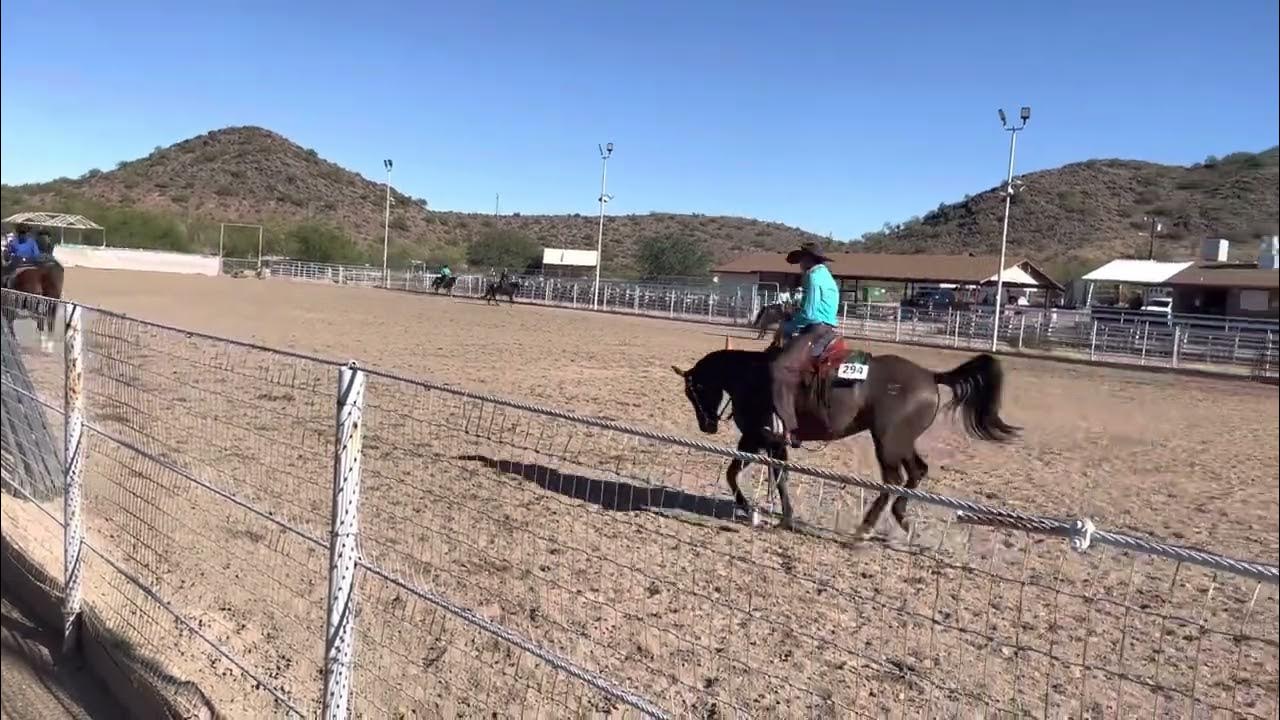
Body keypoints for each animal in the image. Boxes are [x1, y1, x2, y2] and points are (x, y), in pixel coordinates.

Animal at [671, 343, 1017, 537]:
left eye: (695, 390)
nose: (707, 426)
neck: (751, 377)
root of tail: (931, 376)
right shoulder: (758, 440)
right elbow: (742, 473)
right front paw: (759, 511)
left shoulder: (763, 438)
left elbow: (771, 477)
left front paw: (770, 514)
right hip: (901, 442)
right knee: (916, 472)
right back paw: (901, 520)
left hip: (887, 442)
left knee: (893, 480)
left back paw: (867, 527)